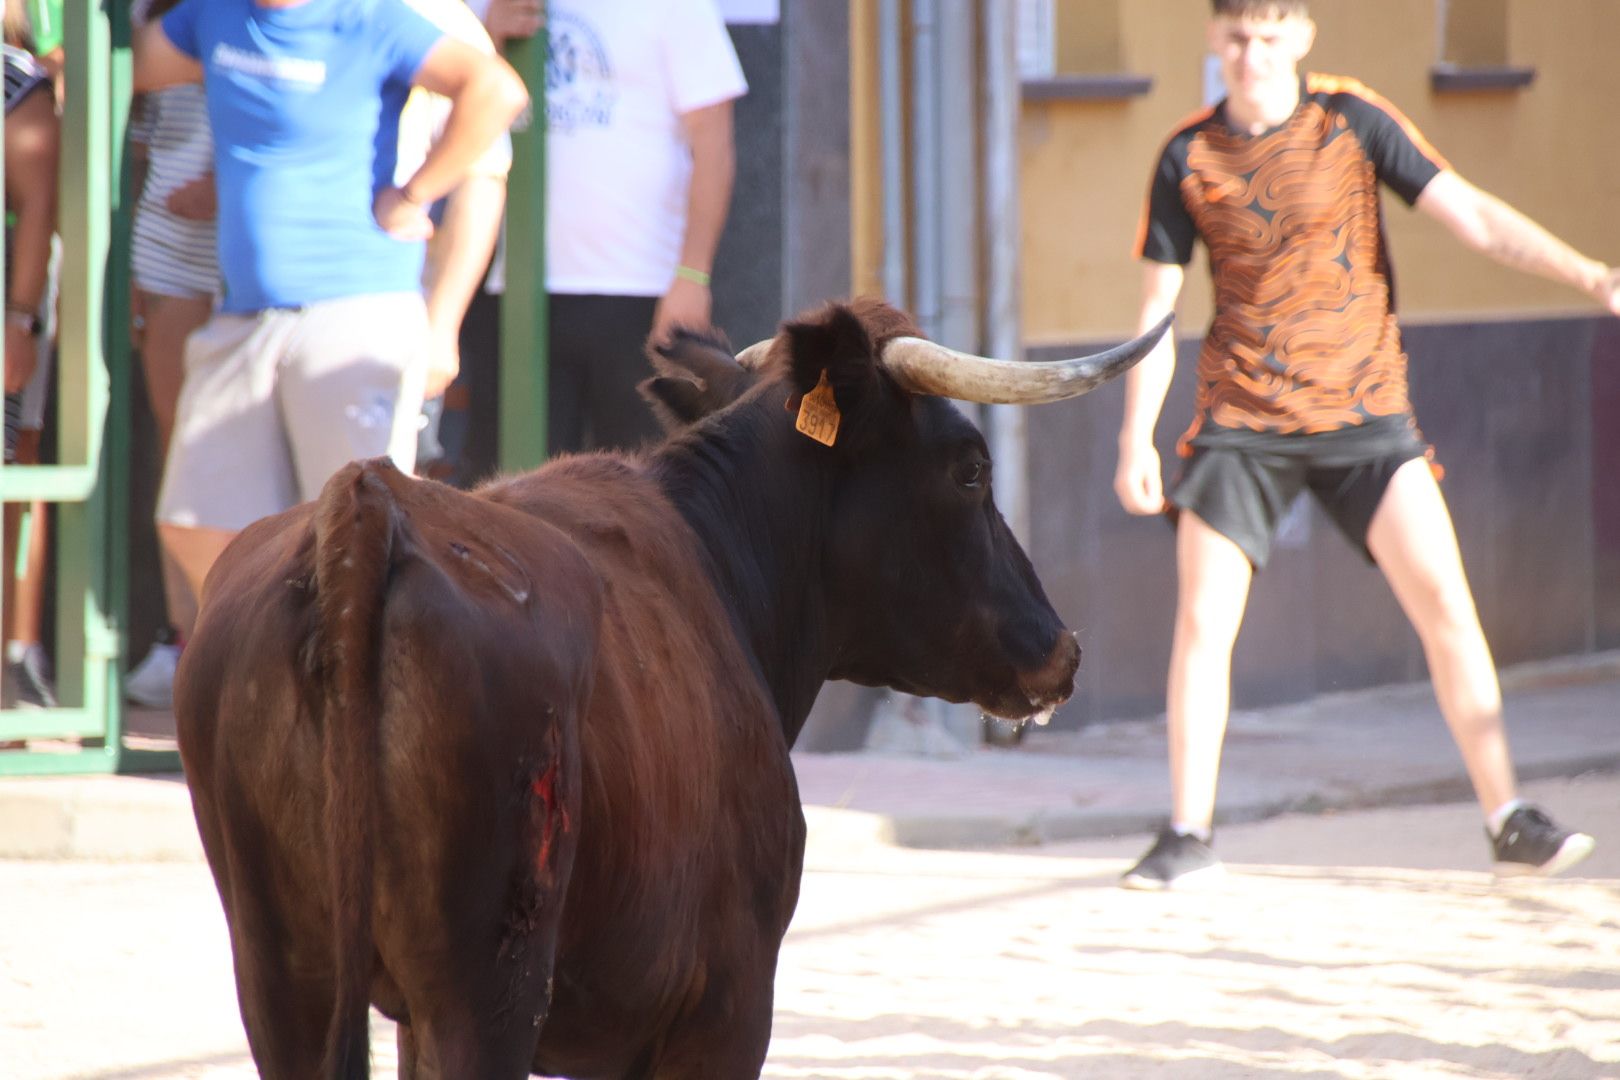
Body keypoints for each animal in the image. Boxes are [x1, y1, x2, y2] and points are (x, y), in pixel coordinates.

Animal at [177, 297, 1172, 1080]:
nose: (1061, 649)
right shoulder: (725, 1006)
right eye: (971, 467)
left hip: (284, 982)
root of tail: (366, 501)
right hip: (480, 996)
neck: (719, 557)